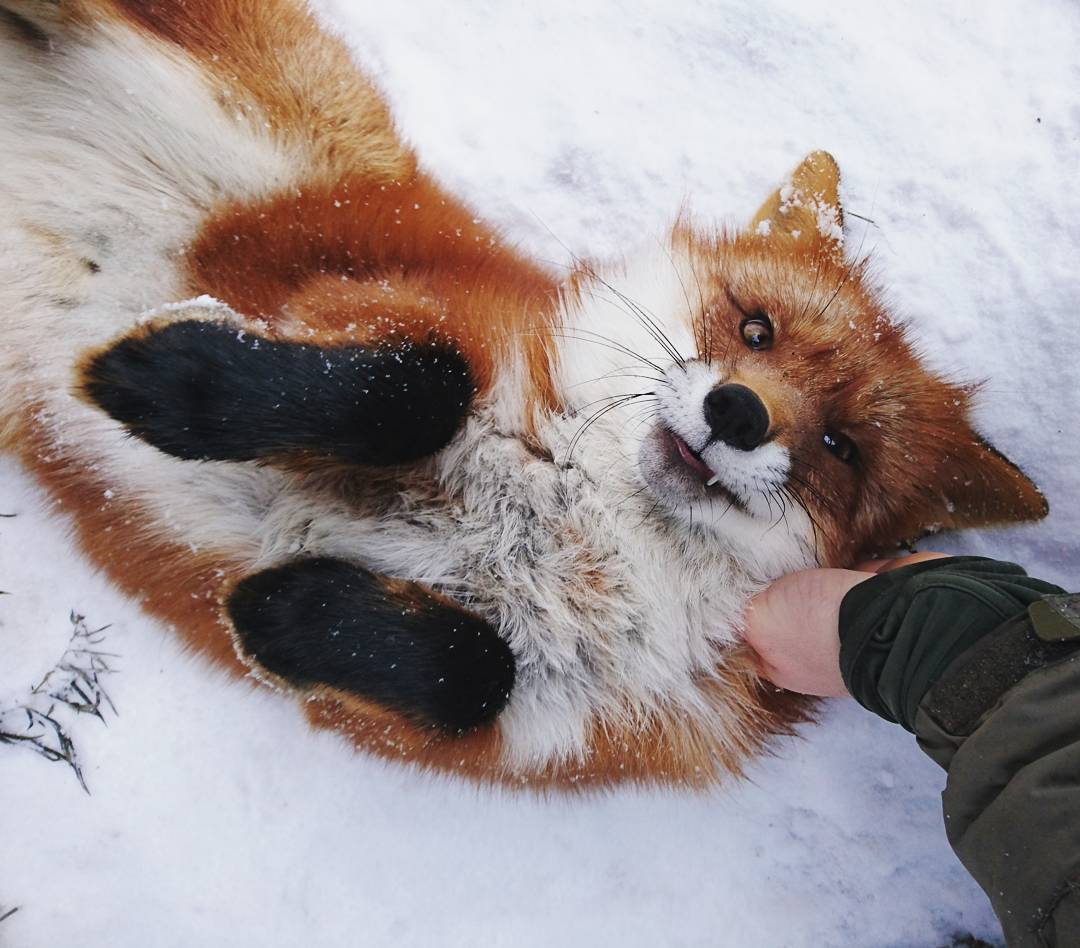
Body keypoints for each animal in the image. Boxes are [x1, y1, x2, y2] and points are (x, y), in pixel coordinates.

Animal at [0, 0, 1045, 786]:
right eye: (756, 331)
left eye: (841, 448)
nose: (738, 413)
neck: (581, 511)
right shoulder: (379, 305)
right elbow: (411, 390)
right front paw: (173, 383)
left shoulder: (526, 727)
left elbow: (473, 672)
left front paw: (286, 612)